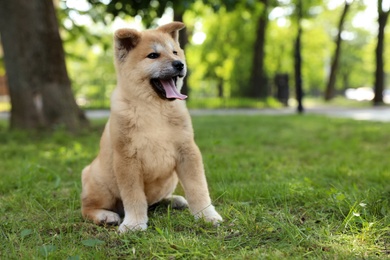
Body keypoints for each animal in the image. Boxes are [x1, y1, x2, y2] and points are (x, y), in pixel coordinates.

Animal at [80, 22, 222, 233]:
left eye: (175, 52)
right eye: (153, 55)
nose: (179, 64)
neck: (155, 110)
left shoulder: (187, 151)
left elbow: (198, 189)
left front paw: (207, 215)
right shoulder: (127, 159)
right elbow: (134, 197)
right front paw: (134, 224)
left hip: (170, 179)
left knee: (155, 201)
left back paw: (174, 200)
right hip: (100, 182)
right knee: (87, 208)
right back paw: (106, 215)